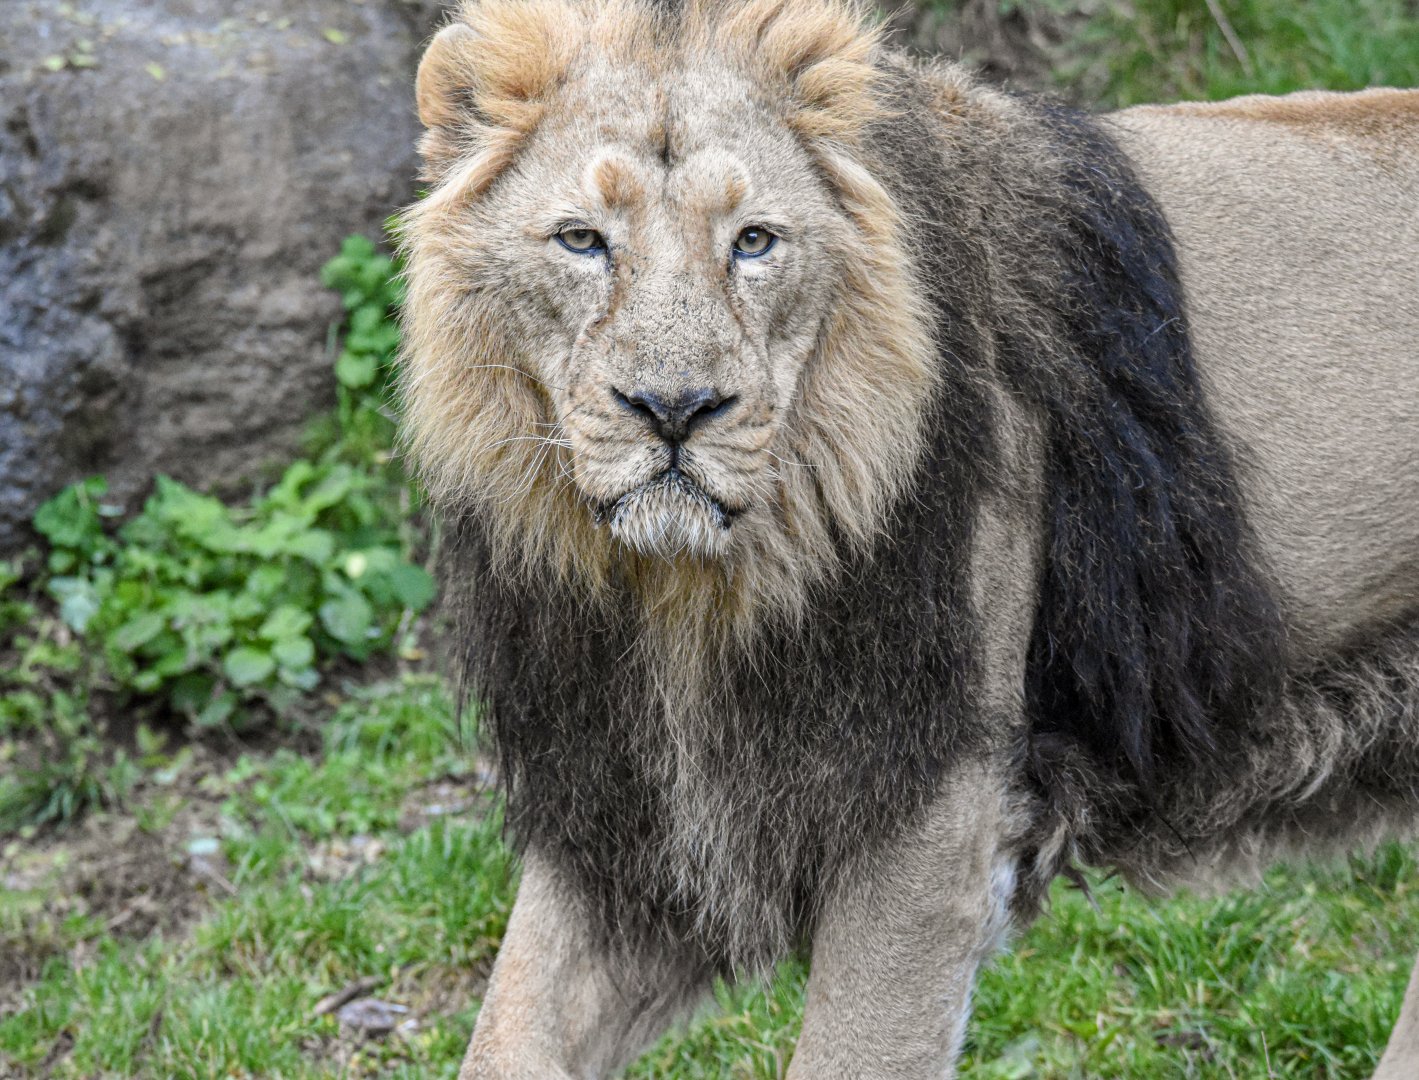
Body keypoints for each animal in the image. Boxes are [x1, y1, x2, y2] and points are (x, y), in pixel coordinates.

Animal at [397, 0, 1419, 1075]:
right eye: (581, 241)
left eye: (753, 241)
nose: (674, 410)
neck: (684, 600)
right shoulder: (634, 821)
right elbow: (504, 1033)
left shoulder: (932, 820)